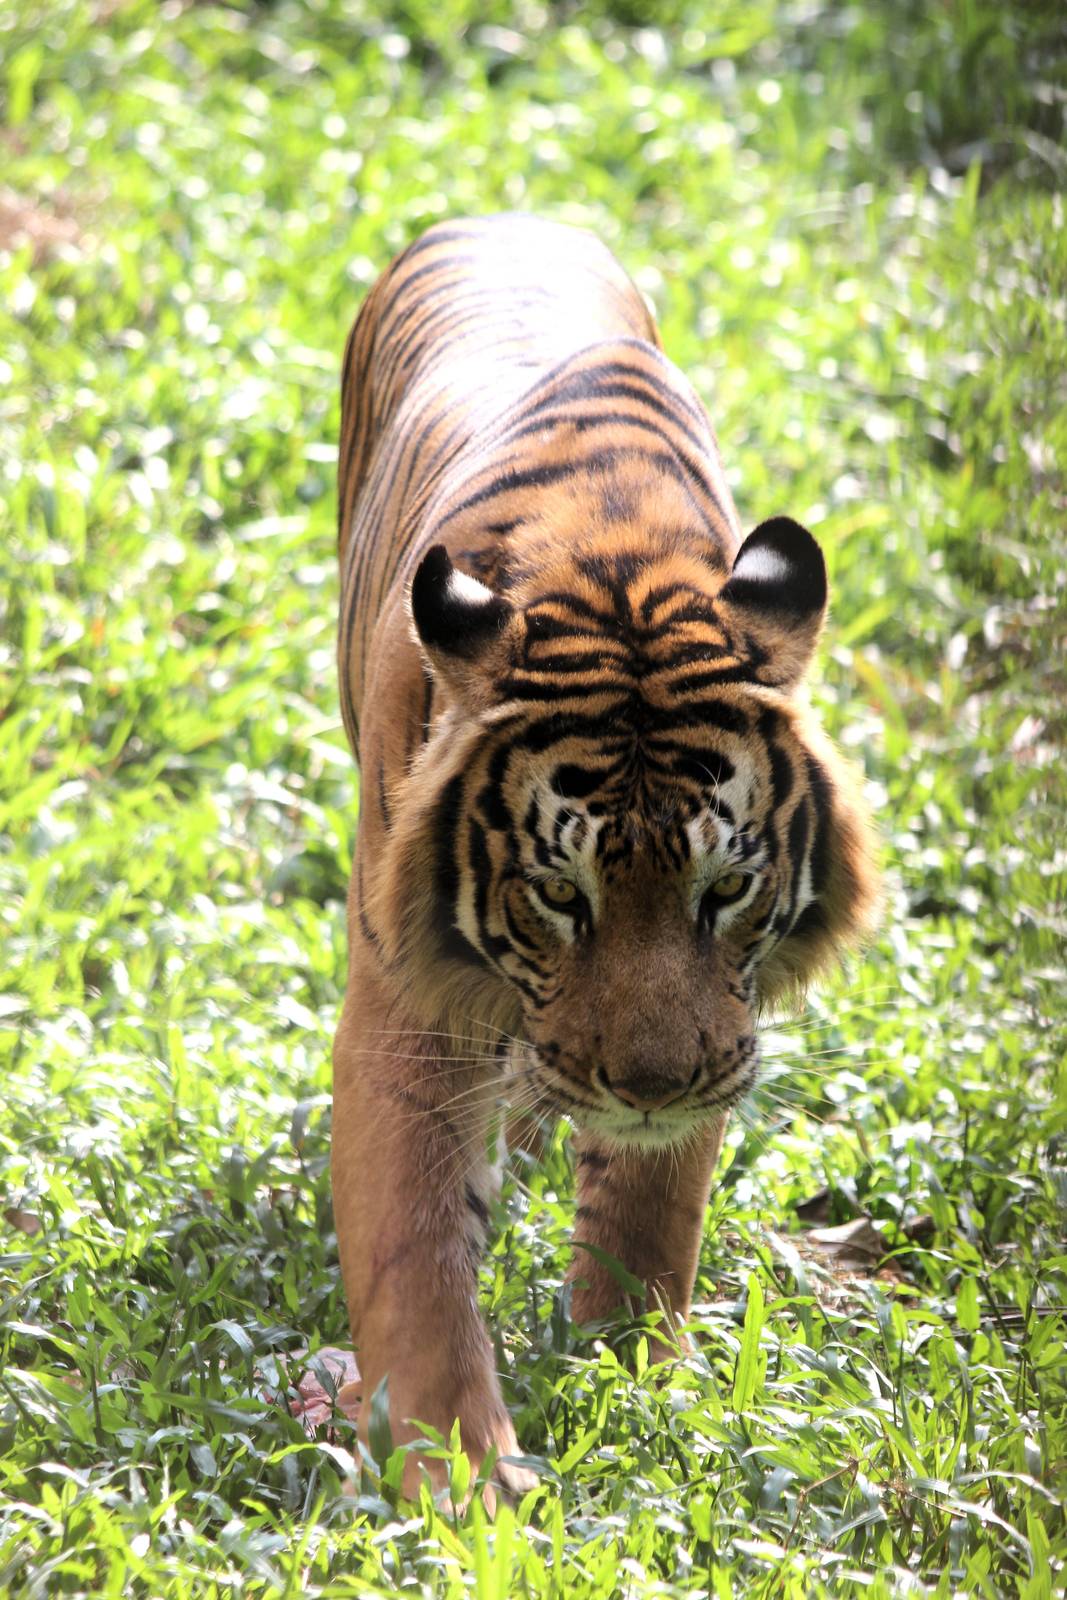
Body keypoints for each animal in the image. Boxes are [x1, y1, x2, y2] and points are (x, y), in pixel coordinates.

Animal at [331, 214, 879, 1500]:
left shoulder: (718, 1025)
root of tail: (501, 213)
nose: (647, 1086)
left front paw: (630, 1388)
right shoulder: (404, 1000)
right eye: (554, 894)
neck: (610, 558)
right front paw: (460, 1480)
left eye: (725, 889)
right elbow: (413, 1245)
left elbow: (649, 1214)